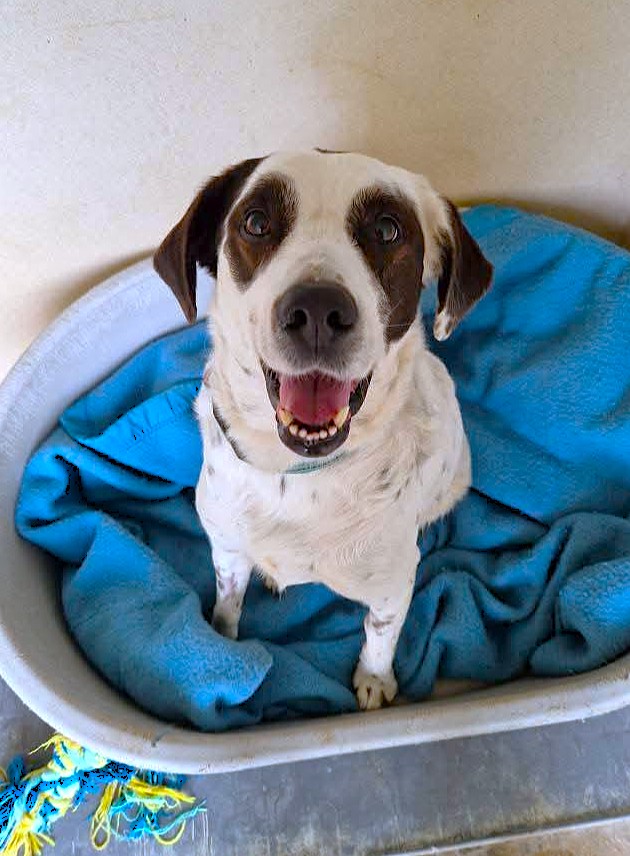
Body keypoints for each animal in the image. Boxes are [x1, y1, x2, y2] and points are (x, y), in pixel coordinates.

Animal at [153, 150, 492, 710]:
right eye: (256, 222)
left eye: (387, 229)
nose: (316, 310)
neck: (297, 477)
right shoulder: (227, 550)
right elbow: (227, 604)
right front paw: (223, 642)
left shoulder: (392, 585)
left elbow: (380, 635)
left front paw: (374, 679)